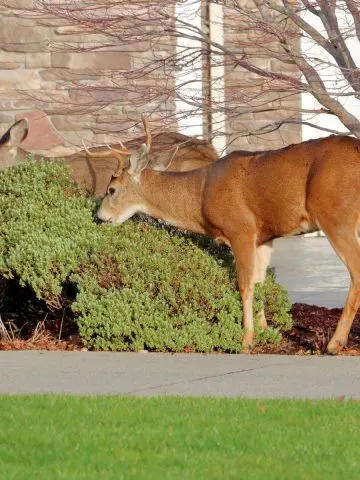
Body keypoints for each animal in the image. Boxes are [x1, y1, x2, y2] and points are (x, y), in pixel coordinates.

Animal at [95, 118, 360, 354]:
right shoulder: (264, 237)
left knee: (356, 271)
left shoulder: (241, 228)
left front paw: (246, 341)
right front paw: (265, 333)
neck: (199, 194)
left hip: (337, 216)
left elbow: (244, 285)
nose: (99, 216)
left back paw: (334, 345)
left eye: (112, 190)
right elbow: (260, 282)